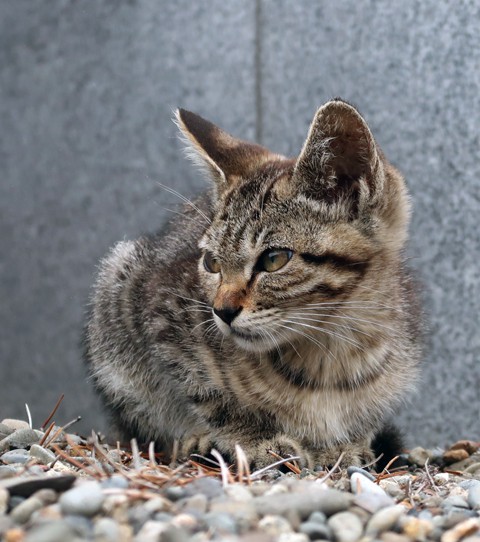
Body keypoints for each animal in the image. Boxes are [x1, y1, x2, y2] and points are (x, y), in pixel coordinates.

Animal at [84, 99, 422, 472]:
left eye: (274, 259)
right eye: (211, 263)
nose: (221, 311)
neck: (330, 352)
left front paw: (345, 444)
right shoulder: (160, 313)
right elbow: (212, 398)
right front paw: (259, 441)